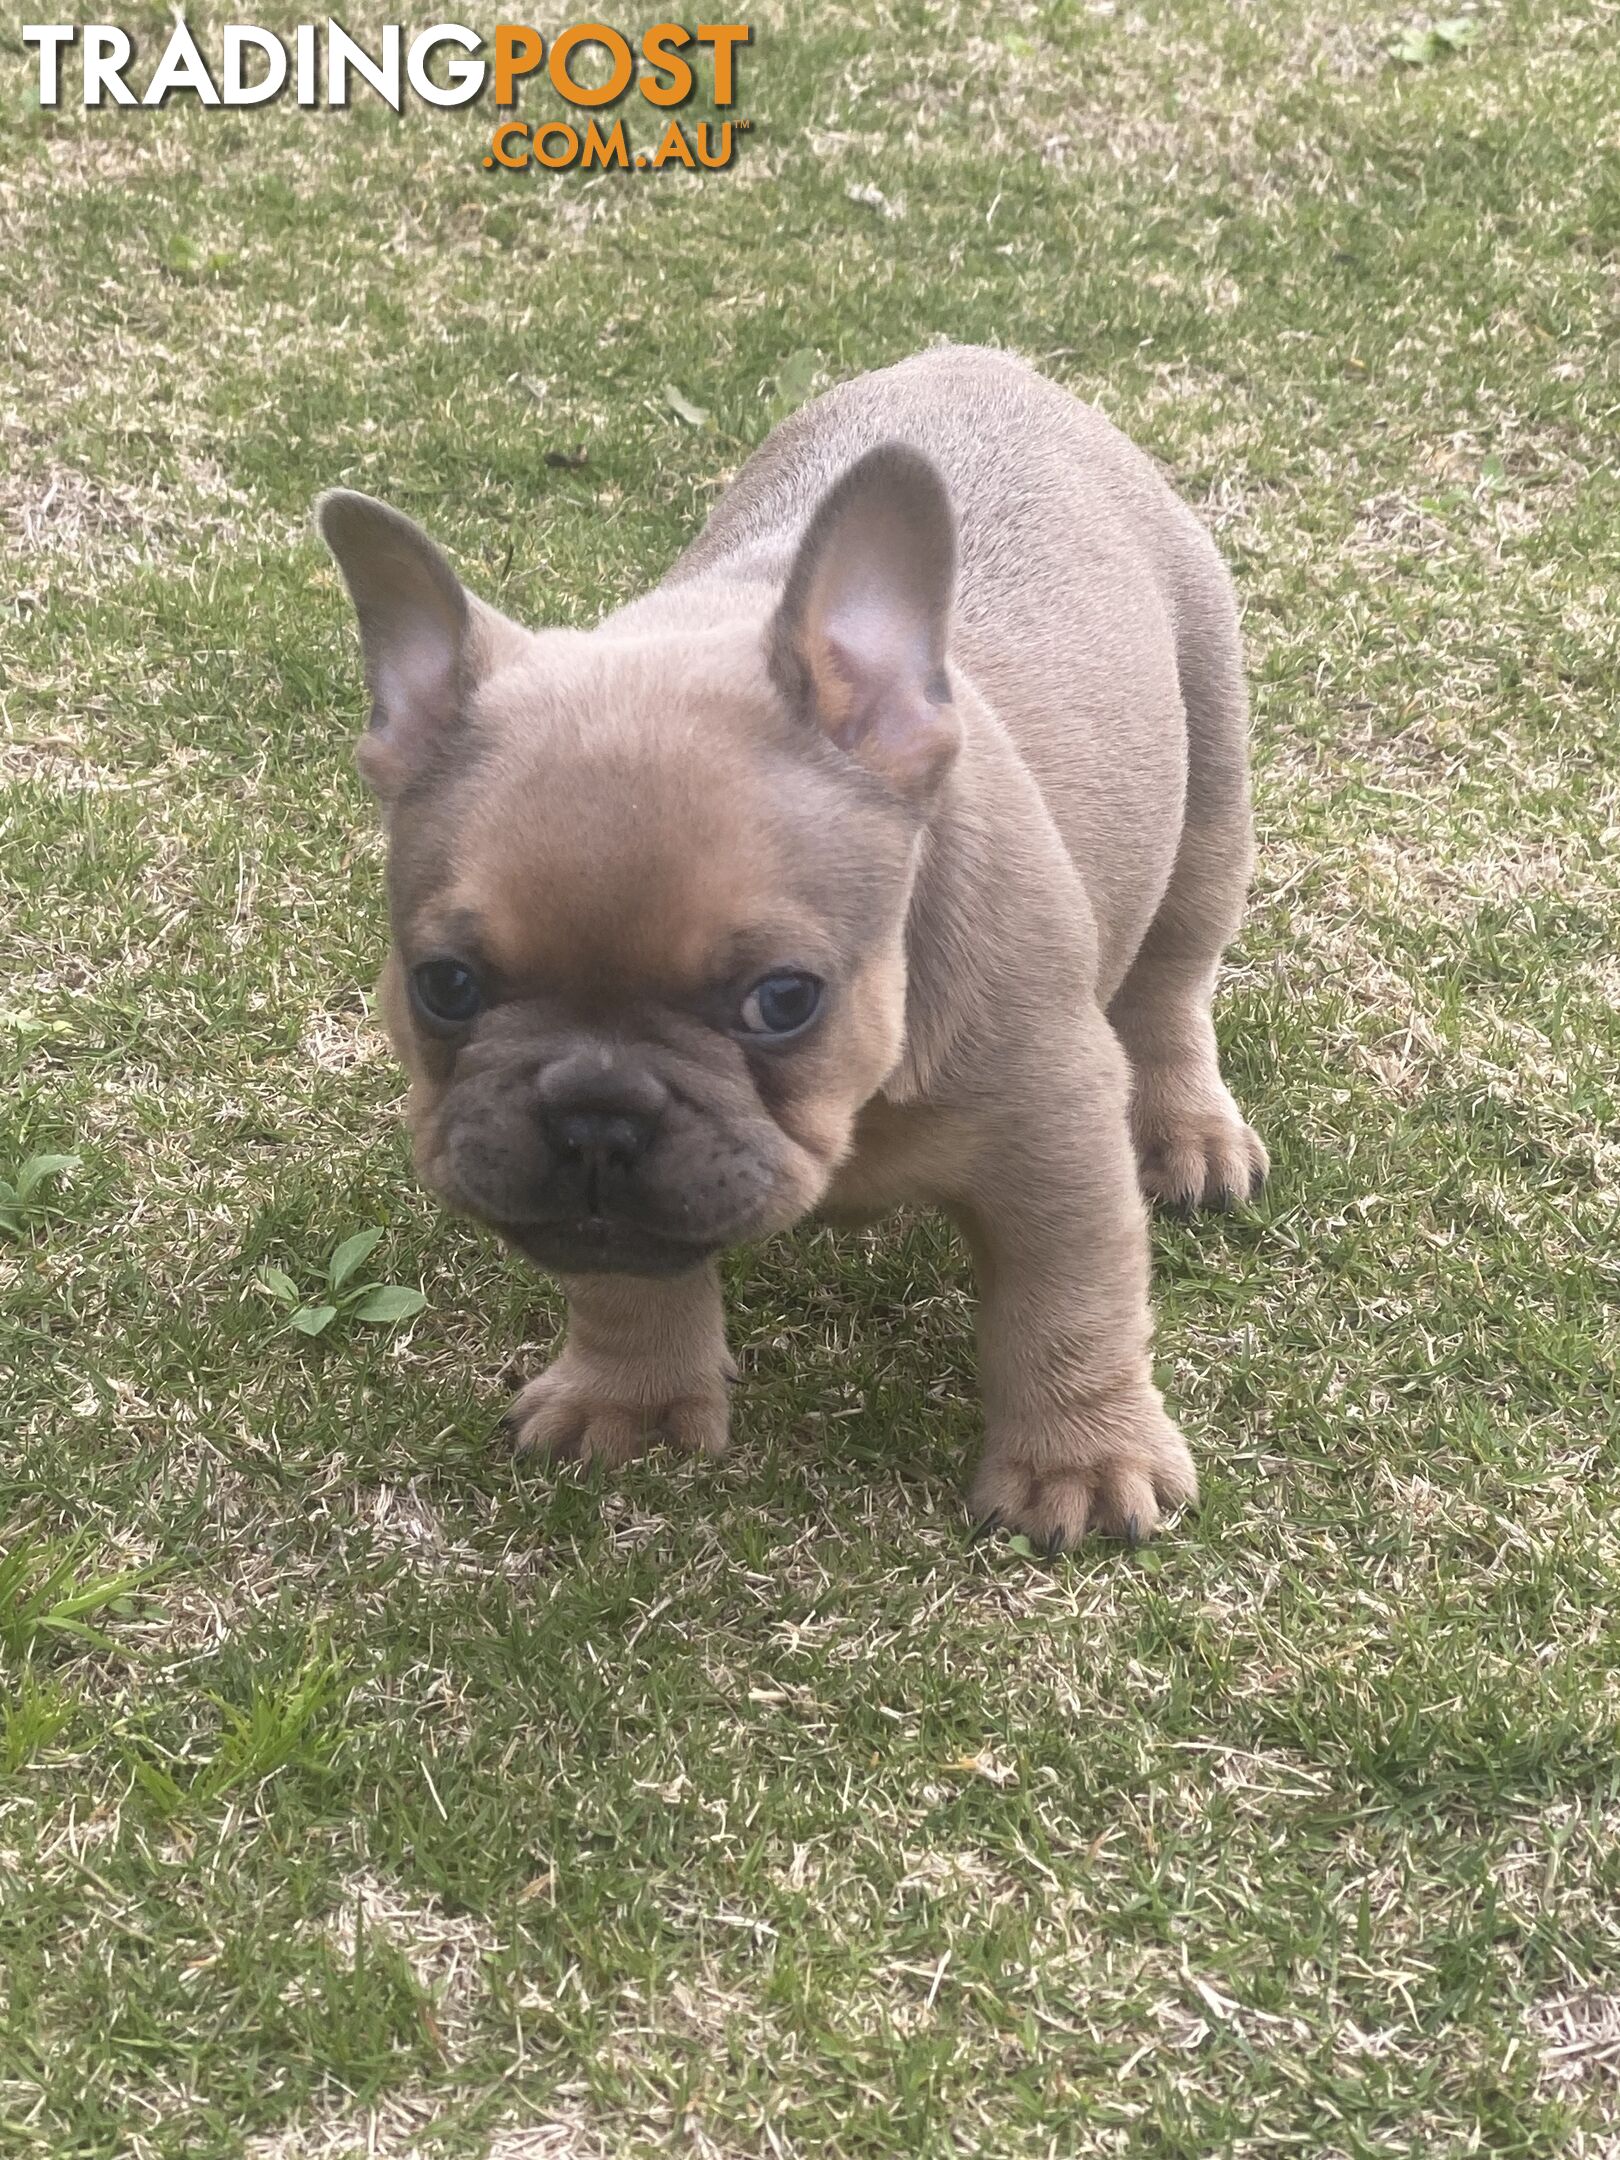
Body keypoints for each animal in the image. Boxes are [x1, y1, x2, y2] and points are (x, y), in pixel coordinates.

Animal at [319, 345, 1270, 1546]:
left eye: (783, 999)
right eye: (443, 985)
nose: (593, 1114)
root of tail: (978, 359)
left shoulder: (1054, 1138)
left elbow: (1068, 1305)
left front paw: (1082, 1463)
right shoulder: (615, 1224)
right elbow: (625, 1274)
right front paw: (627, 1392)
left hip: (1209, 784)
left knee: (1172, 978)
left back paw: (1189, 1131)